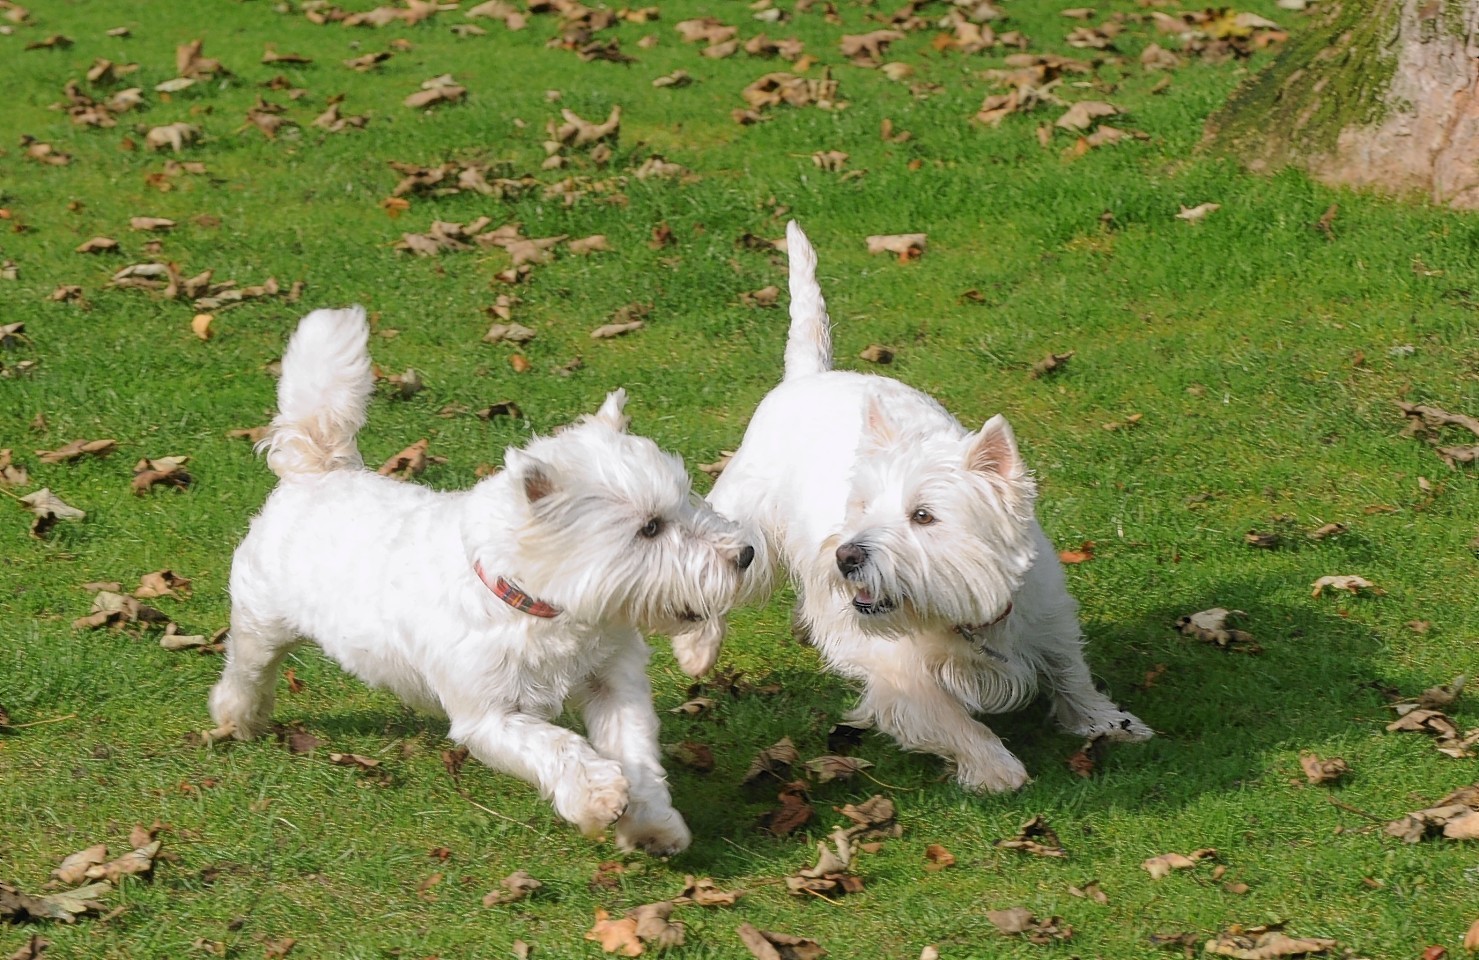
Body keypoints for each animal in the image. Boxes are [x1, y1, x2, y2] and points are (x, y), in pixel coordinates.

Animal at [211, 303, 751, 852]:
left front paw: (650, 824)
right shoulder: (488, 714)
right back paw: (239, 718)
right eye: (650, 527)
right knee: (246, 669)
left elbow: (637, 752)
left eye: (687, 500)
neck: (542, 608)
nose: (745, 554)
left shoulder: (612, 680)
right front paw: (597, 795)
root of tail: (317, 469)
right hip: (262, 618)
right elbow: (557, 746)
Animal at [692, 224, 1153, 792]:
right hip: (746, 523)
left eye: (923, 516)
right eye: (862, 506)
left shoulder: (1047, 614)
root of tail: (805, 376)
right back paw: (698, 649)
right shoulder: (898, 666)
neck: (964, 620)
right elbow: (945, 714)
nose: (845, 556)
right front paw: (995, 767)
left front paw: (1108, 722)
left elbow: (1071, 671)